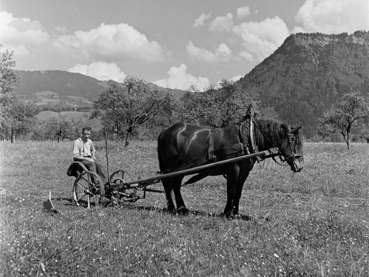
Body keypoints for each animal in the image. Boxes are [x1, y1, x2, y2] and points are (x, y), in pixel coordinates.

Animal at [157, 108, 304, 218]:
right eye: (292, 139)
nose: (300, 165)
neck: (245, 139)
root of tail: (164, 132)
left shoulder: (244, 172)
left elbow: (238, 192)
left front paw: (235, 212)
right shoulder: (234, 169)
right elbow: (231, 190)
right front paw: (228, 212)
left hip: (180, 169)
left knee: (175, 185)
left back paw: (181, 208)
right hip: (170, 168)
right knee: (167, 184)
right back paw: (172, 208)